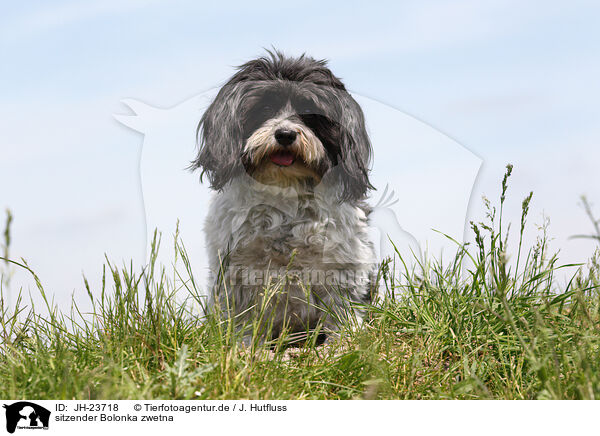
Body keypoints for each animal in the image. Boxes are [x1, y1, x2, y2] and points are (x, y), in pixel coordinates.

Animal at [192, 51, 378, 344]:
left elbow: (342, 307)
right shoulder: (235, 267)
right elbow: (241, 314)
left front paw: (342, 342)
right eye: (265, 108)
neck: (285, 187)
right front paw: (243, 345)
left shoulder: (344, 261)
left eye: (310, 113)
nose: (286, 134)